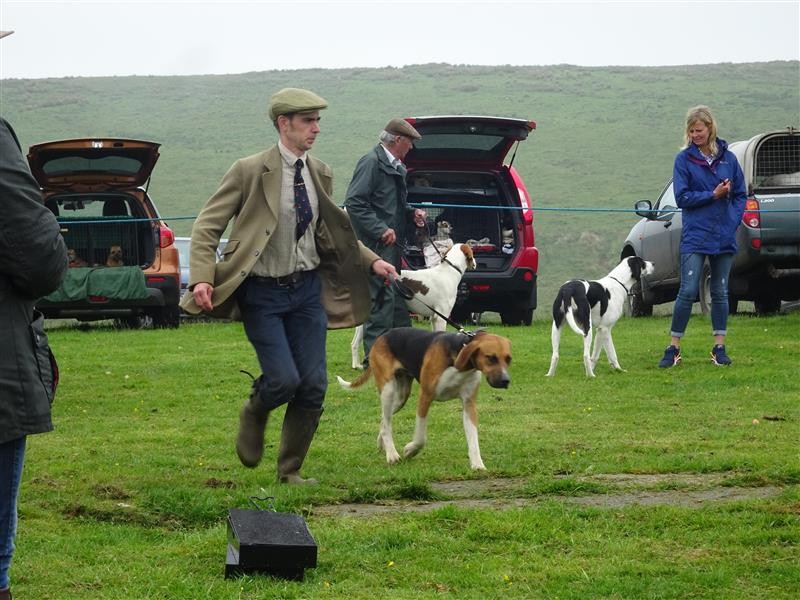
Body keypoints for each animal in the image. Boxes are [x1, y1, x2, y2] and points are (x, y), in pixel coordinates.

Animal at [338, 328, 512, 470]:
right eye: (491, 358)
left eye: (508, 359)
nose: (505, 381)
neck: (461, 363)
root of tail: (382, 336)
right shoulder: (426, 396)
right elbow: (421, 437)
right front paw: (410, 450)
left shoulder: (469, 404)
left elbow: (473, 438)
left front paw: (477, 464)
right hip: (388, 390)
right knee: (387, 423)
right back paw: (392, 454)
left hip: (401, 397)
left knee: (383, 420)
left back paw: (384, 445)